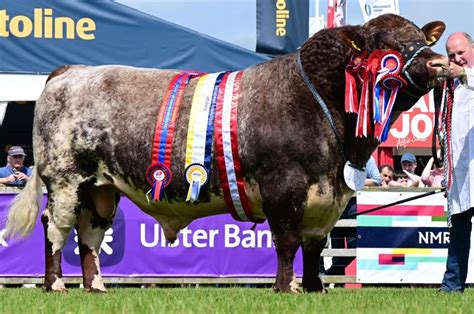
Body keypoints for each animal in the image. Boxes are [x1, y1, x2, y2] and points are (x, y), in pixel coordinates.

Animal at [3, 13, 450, 294]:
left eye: (421, 37)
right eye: (386, 46)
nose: (440, 62)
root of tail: (71, 71)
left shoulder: (327, 197)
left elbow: (313, 246)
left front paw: (314, 288)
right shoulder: (283, 188)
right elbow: (287, 241)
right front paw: (286, 288)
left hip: (100, 188)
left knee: (90, 234)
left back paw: (95, 287)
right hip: (65, 180)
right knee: (55, 228)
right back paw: (56, 285)